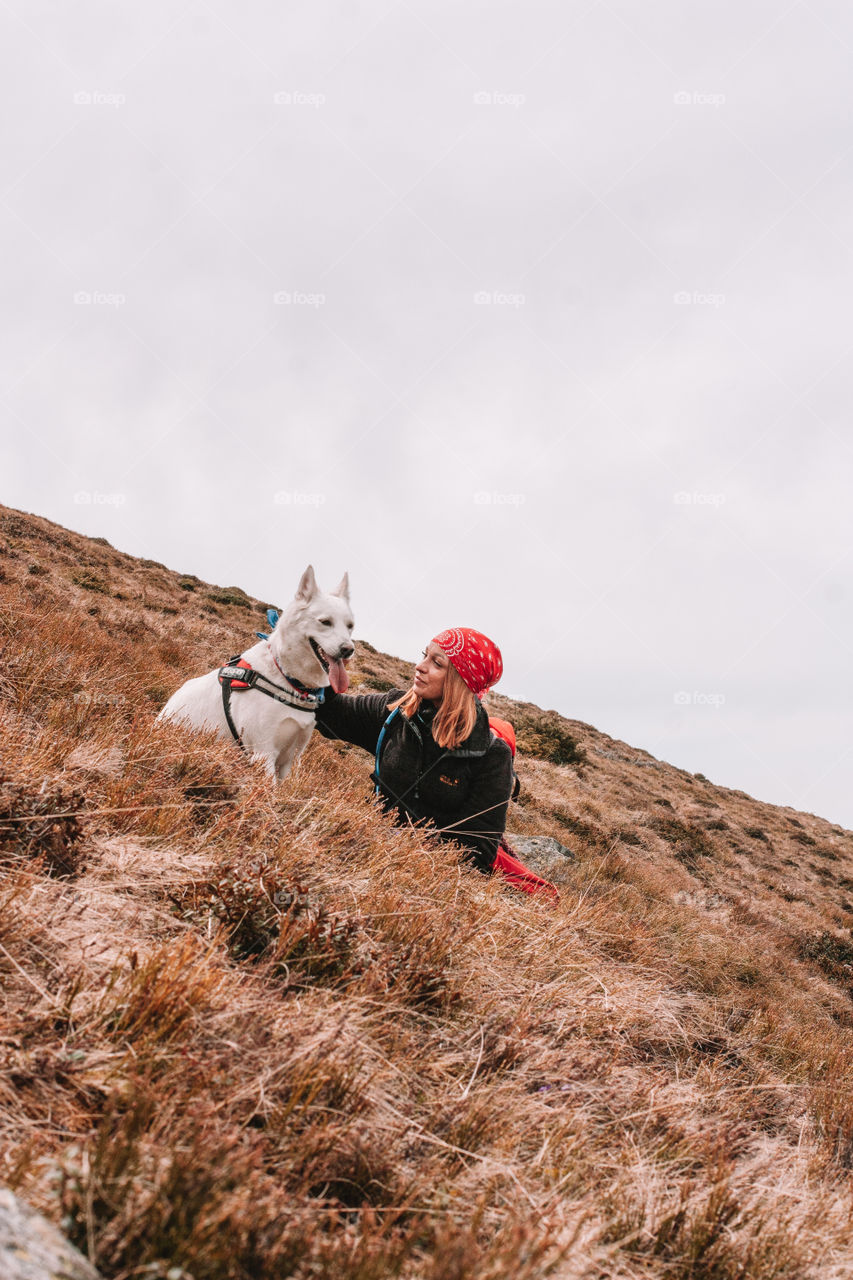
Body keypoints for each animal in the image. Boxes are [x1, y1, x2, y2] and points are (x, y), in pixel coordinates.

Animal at [156, 568, 350, 778]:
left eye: (350, 626)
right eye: (325, 622)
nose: (349, 650)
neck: (286, 675)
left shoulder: (290, 760)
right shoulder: (264, 754)